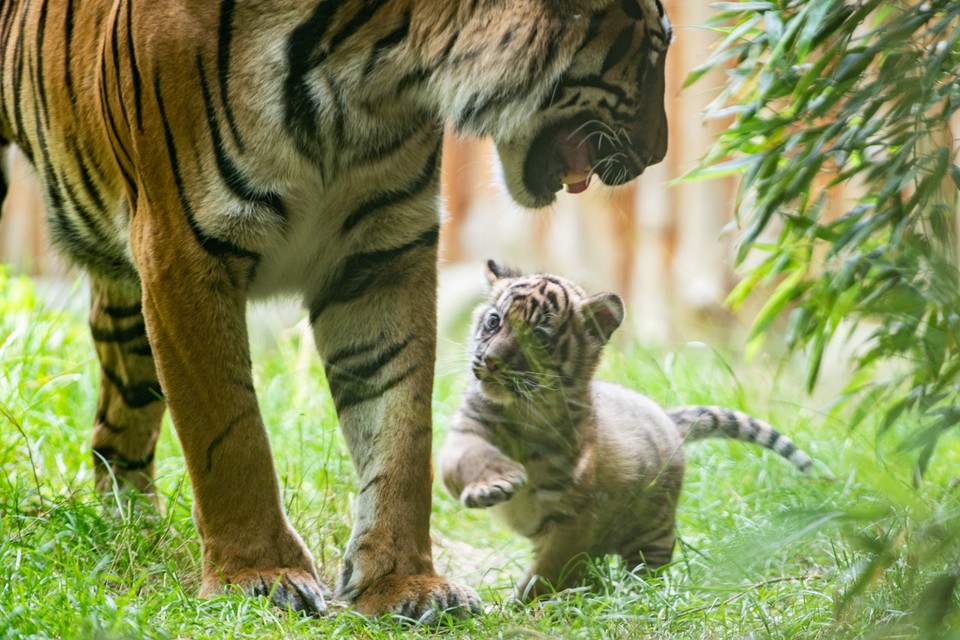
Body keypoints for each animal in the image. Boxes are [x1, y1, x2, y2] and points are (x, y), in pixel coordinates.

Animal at [0, 0, 672, 620]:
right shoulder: (182, 250)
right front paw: (257, 575)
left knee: (118, 426)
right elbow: (229, 434)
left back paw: (134, 534)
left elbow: (400, 431)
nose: (658, 154)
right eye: (659, 48)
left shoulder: (382, 255)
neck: (370, 70)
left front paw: (404, 583)